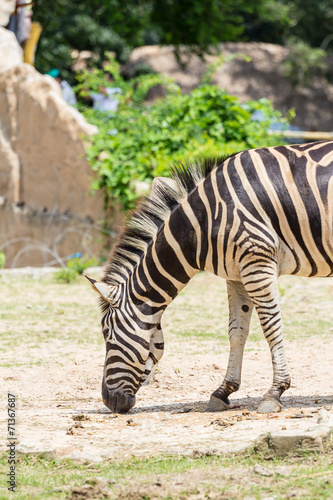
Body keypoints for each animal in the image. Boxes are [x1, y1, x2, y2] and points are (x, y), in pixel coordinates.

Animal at [85, 141, 332, 414]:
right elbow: (237, 331)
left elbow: (271, 327)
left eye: (107, 334)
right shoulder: (237, 274)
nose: (109, 401)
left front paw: (275, 392)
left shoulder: (257, 261)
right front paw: (223, 392)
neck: (202, 222)